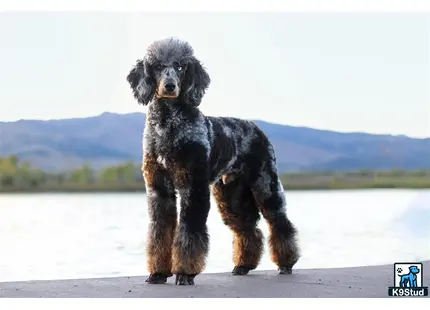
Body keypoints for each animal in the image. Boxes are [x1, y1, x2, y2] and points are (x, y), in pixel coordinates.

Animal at [125, 37, 298, 286]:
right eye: (157, 66)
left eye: (181, 66)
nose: (170, 86)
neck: (169, 125)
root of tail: (257, 129)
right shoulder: (159, 190)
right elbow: (159, 233)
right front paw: (158, 273)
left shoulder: (193, 186)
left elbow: (190, 230)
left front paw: (185, 273)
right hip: (231, 195)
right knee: (249, 230)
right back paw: (242, 266)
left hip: (266, 185)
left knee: (280, 224)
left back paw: (286, 263)